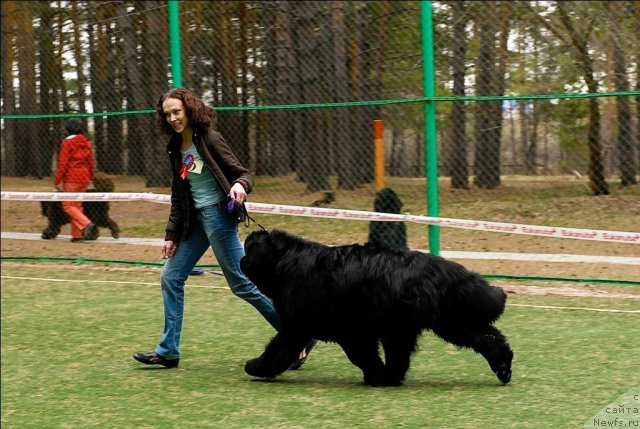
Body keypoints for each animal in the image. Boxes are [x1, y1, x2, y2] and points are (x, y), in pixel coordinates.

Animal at [241, 229, 516, 386]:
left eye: (249, 248)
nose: (241, 258)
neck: (285, 262)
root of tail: (443, 268)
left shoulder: (308, 327)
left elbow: (277, 349)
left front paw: (256, 366)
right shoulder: (345, 330)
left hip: (406, 325)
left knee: (401, 355)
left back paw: (388, 378)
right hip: (448, 320)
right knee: (488, 337)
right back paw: (503, 367)